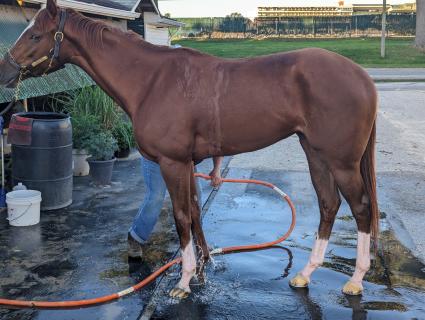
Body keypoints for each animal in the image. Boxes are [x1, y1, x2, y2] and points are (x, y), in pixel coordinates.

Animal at [0, 0, 378, 298]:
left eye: (34, 35)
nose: (5, 70)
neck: (151, 80)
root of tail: (363, 77)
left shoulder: (172, 163)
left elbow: (182, 217)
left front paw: (182, 282)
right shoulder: (188, 165)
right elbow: (195, 211)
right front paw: (201, 271)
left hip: (341, 161)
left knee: (360, 207)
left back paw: (356, 281)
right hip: (316, 154)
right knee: (328, 205)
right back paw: (305, 274)